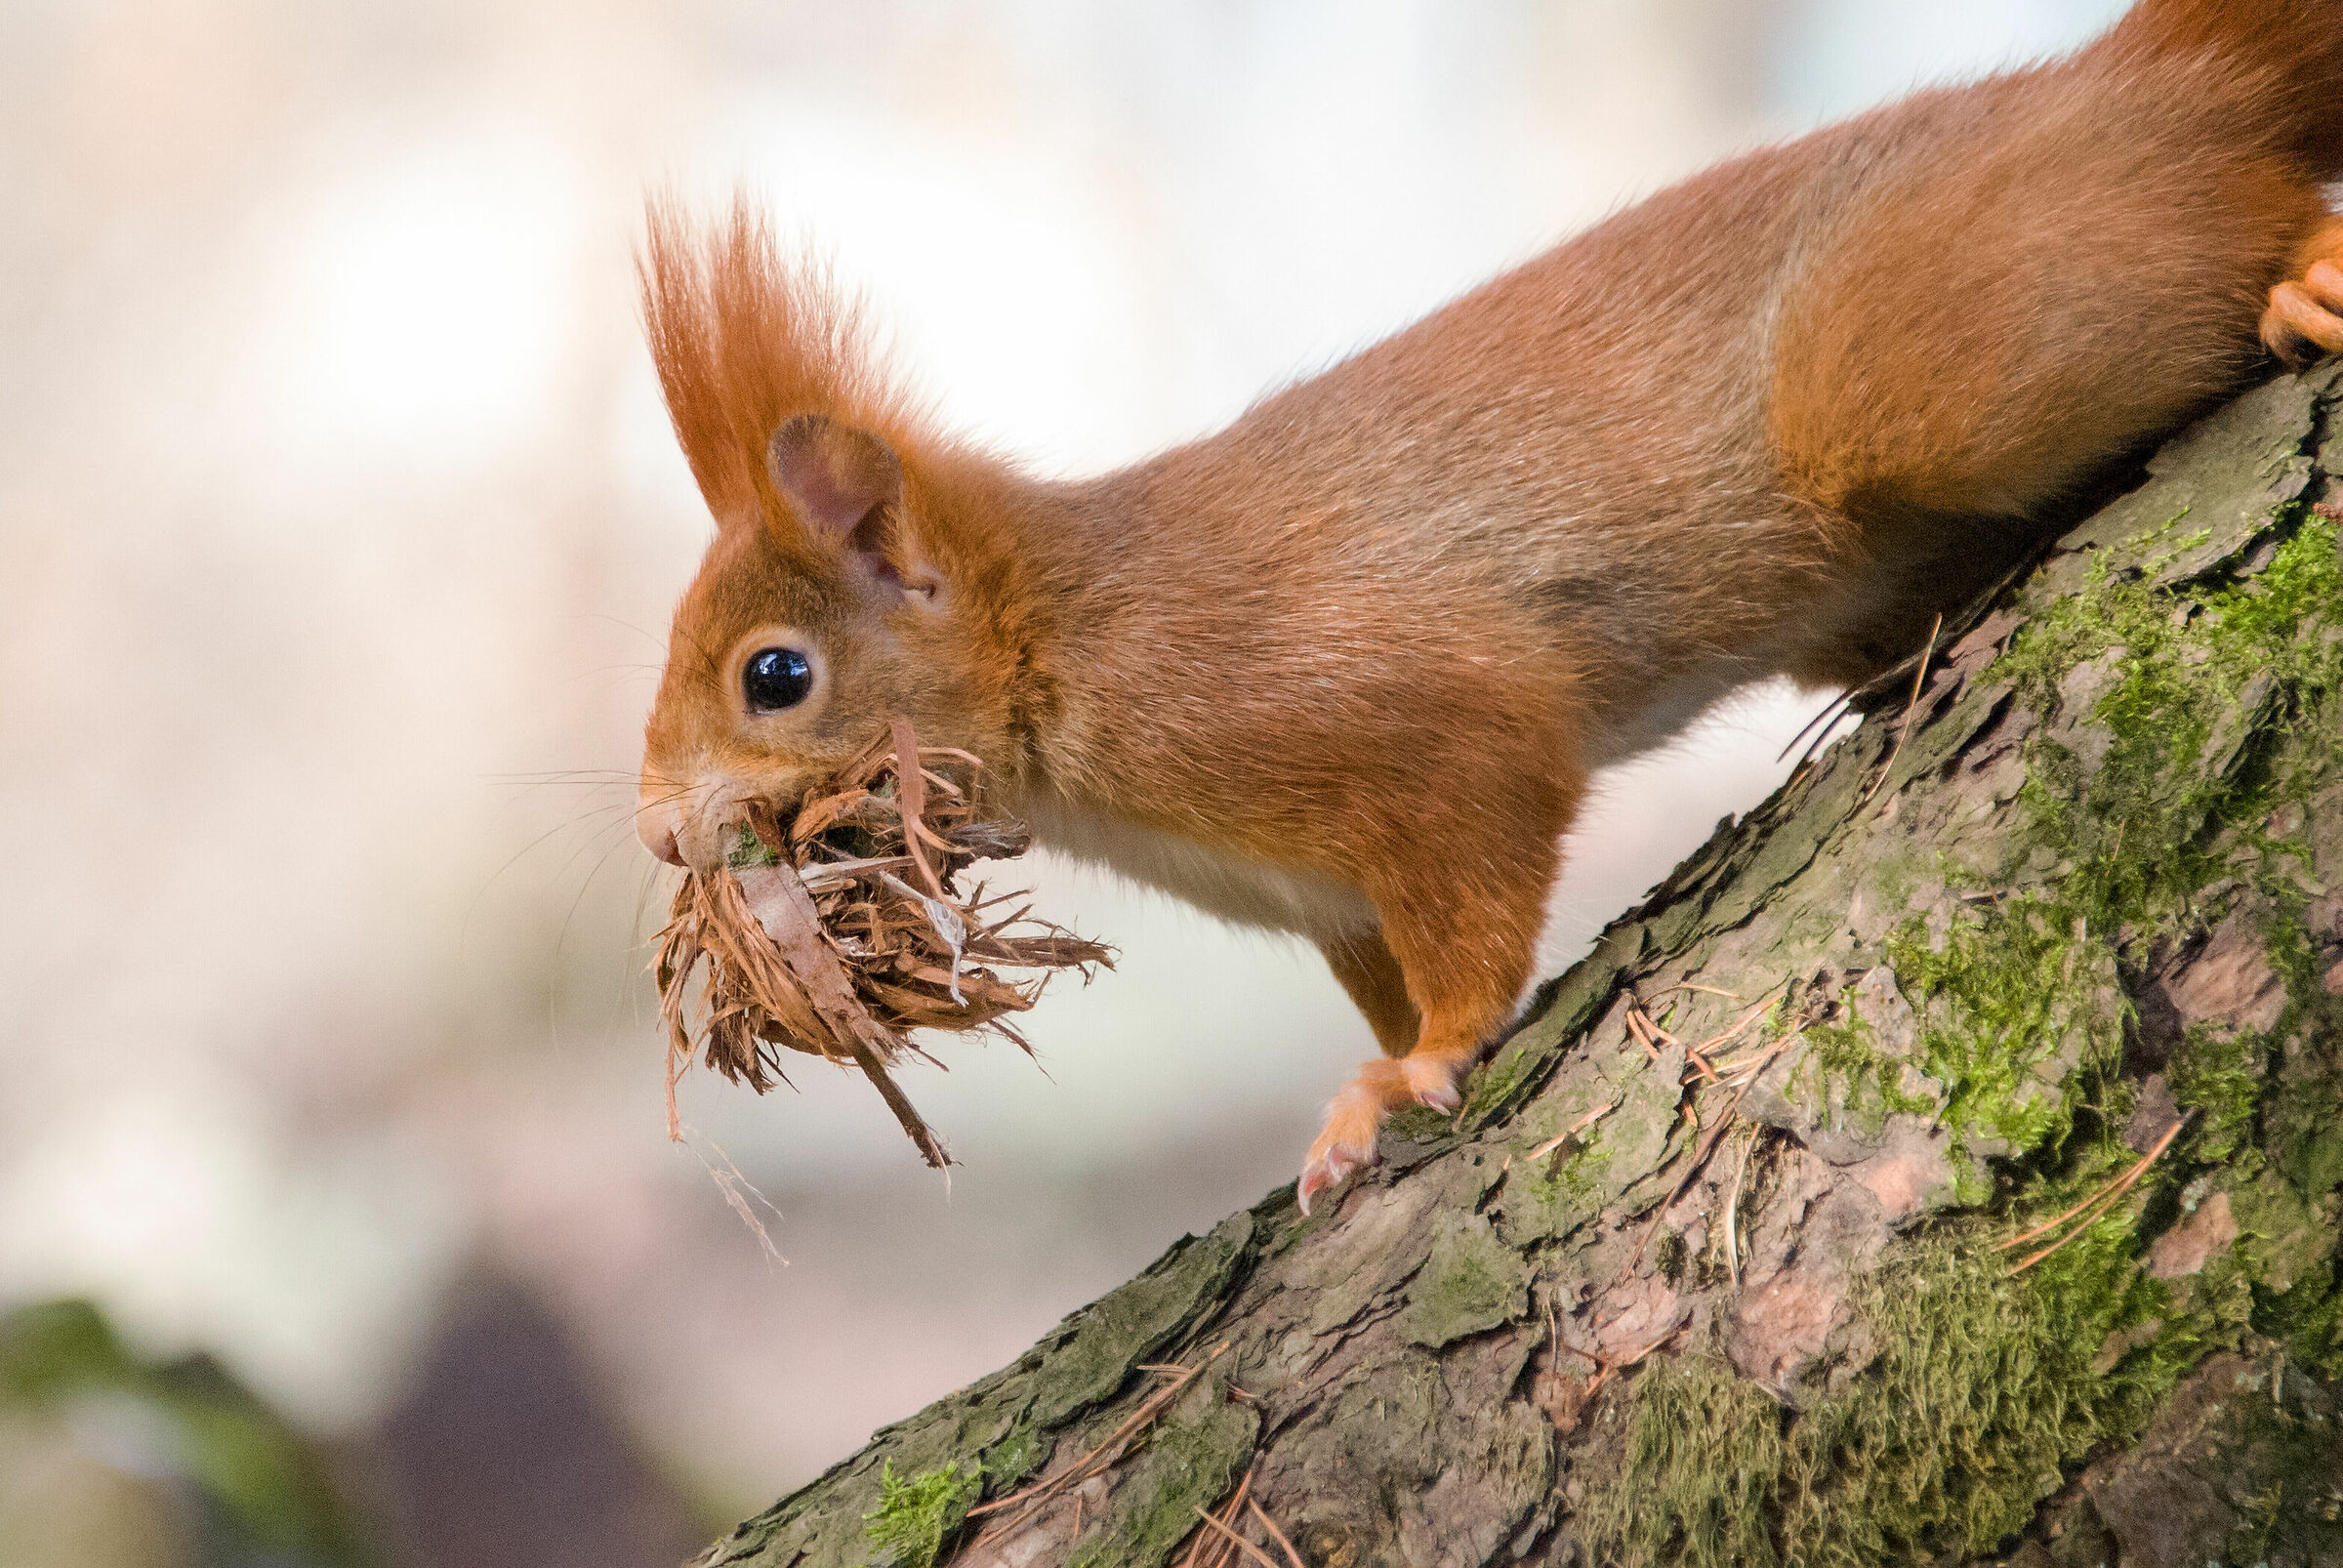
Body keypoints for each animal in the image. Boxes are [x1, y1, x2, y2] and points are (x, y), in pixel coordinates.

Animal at [634, 0, 2343, 1213]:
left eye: (775, 675)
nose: (659, 831)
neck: (1070, 642)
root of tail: (2146, 69)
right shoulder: (1327, 897)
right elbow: (1389, 965)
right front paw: (1384, 1069)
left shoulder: (1384, 715)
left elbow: (1474, 874)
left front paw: (1410, 1078)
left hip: (1933, 366)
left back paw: (2302, 269)